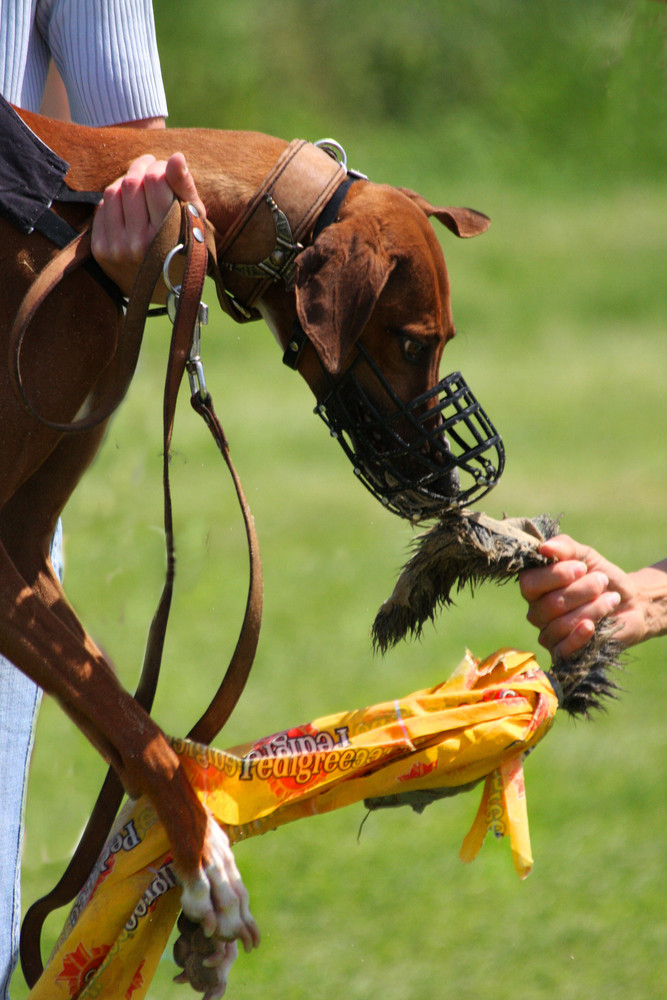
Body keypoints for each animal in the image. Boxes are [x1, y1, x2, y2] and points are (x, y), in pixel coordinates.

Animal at [0, 107, 490, 984]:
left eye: (440, 339)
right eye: (411, 341)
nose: (443, 484)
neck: (81, 212)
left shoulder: (25, 546)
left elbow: (132, 722)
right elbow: (139, 733)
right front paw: (208, 867)